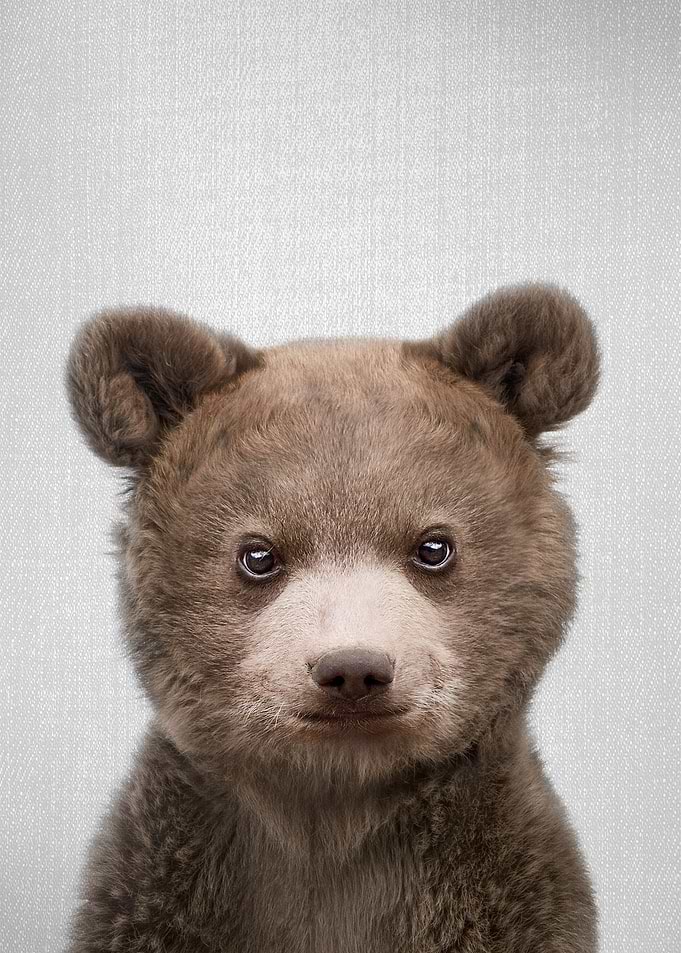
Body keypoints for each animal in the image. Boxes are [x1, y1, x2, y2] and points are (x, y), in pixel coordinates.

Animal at [64, 282, 600, 953]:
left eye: (434, 546)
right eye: (258, 555)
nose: (353, 669)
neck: (335, 810)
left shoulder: (502, 889)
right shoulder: (162, 886)